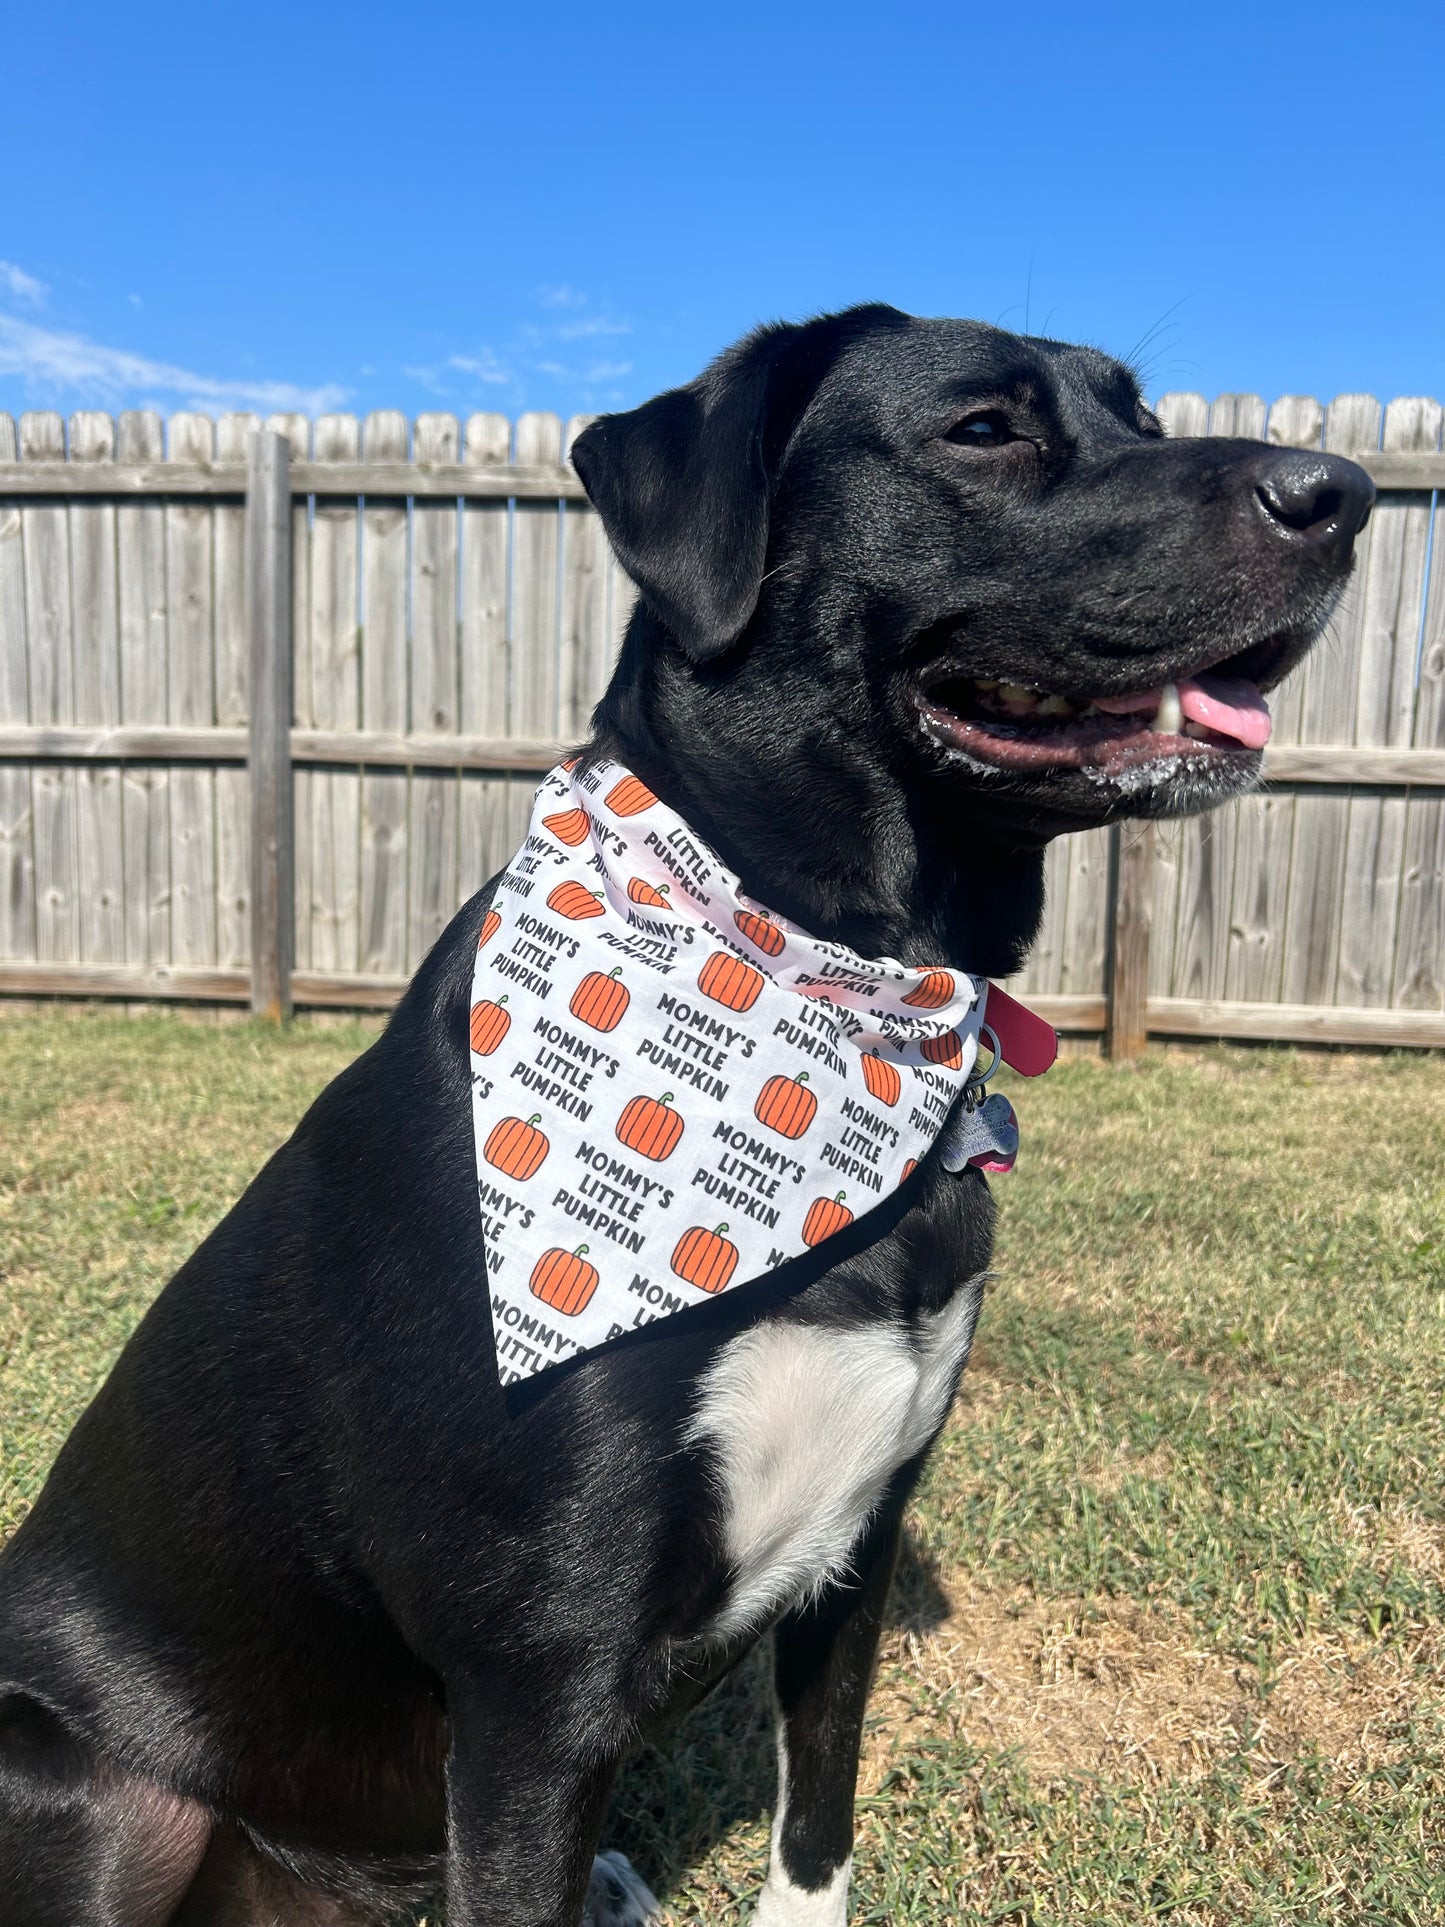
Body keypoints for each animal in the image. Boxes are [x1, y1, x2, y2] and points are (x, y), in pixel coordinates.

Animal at [0, 308, 1379, 1919]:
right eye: (984, 428)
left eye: (1140, 416)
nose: (1344, 493)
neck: (831, 989)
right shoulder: (534, 1679)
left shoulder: (857, 1547)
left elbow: (816, 1821)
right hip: (94, 1792)